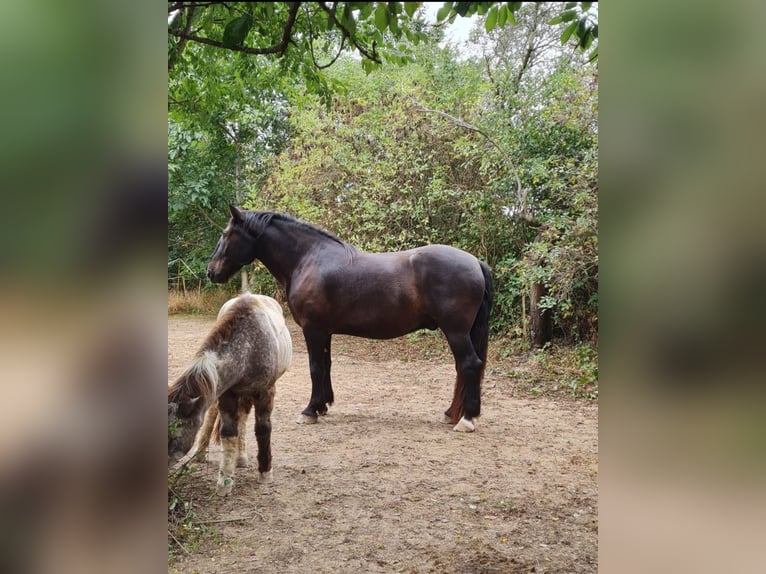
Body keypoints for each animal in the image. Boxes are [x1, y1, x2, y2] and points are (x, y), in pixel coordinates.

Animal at [168, 293, 292, 495]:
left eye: (173, 437)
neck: (248, 345)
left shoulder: (265, 392)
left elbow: (263, 429)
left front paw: (265, 473)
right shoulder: (226, 393)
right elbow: (228, 431)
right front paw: (225, 481)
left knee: (243, 417)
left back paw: (241, 458)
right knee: (216, 414)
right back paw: (203, 452)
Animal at [207, 206, 492, 432]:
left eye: (226, 234)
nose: (211, 271)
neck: (307, 259)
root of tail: (475, 262)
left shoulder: (313, 328)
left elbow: (315, 367)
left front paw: (309, 411)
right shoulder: (325, 331)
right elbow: (326, 365)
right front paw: (322, 406)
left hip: (455, 331)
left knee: (469, 365)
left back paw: (467, 420)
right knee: (461, 368)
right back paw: (452, 414)